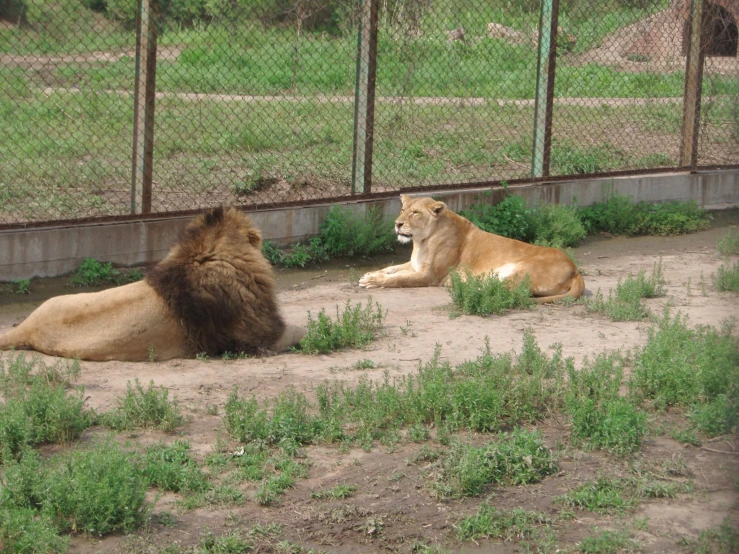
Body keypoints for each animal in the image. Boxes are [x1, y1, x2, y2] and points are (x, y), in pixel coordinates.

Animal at [362, 192, 588, 300]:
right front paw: (371, 274)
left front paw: (373, 281)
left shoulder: (430, 276)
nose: (397, 224)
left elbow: (398, 278)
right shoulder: (415, 265)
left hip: (524, 270)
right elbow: (391, 268)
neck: (421, 241)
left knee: (507, 291)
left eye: (415, 213)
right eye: (402, 209)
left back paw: (469, 287)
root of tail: (575, 269)